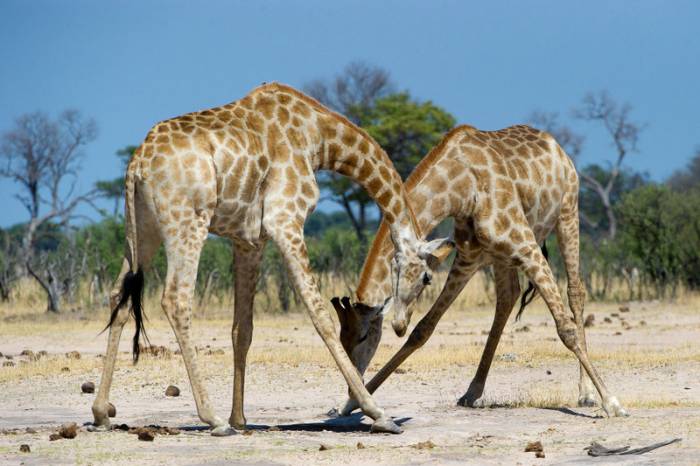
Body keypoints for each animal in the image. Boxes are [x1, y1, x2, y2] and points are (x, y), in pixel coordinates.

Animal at [90, 83, 451, 435]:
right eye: (427, 278)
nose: (401, 325)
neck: (318, 138)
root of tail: (137, 163)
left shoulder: (248, 240)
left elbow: (242, 329)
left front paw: (240, 418)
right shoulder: (286, 221)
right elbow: (318, 313)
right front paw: (379, 413)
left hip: (142, 229)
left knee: (119, 295)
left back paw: (102, 413)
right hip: (188, 221)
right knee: (175, 299)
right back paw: (213, 419)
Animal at [331, 124, 628, 418]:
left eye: (364, 336)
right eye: (342, 338)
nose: (398, 324)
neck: (461, 188)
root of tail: (555, 144)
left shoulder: (527, 246)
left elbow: (565, 328)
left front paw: (612, 401)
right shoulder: (468, 258)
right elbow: (423, 329)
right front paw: (352, 402)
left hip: (567, 213)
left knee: (575, 291)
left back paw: (586, 393)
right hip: (500, 256)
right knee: (508, 297)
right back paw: (472, 391)